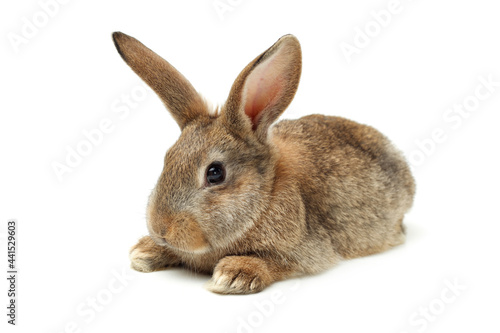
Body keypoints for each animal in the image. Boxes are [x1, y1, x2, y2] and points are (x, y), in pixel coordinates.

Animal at [112, 31, 414, 294]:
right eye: (167, 158)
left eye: (215, 173)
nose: (161, 229)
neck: (265, 195)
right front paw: (144, 252)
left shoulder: (305, 249)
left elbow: (278, 262)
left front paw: (233, 275)